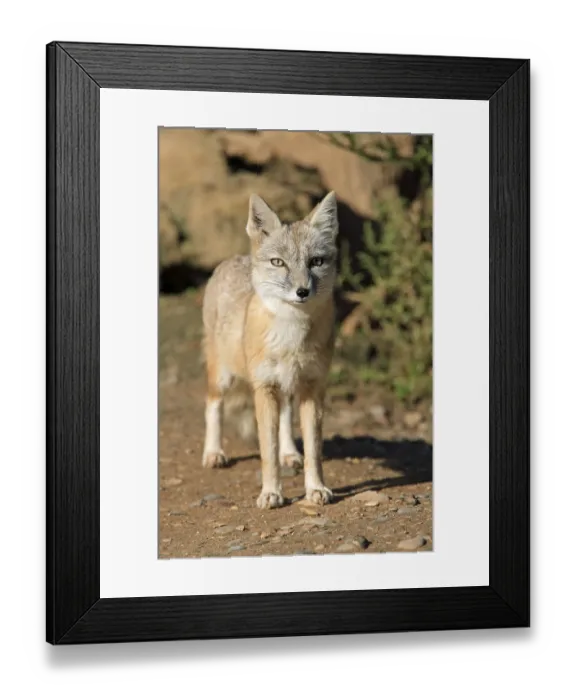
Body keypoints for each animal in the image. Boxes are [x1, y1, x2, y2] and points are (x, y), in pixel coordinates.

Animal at [201, 191, 339, 509]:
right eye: (279, 262)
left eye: (316, 261)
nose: (302, 291)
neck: (292, 335)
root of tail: (234, 258)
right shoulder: (264, 387)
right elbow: (267, 450)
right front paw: (271, 492)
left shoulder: (313, 386)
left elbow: (314, 451)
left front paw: (316, 488)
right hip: (223, 377)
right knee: (212, 406)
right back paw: (213, 452)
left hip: (287, 384)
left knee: (286, 416)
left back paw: (289, 453)